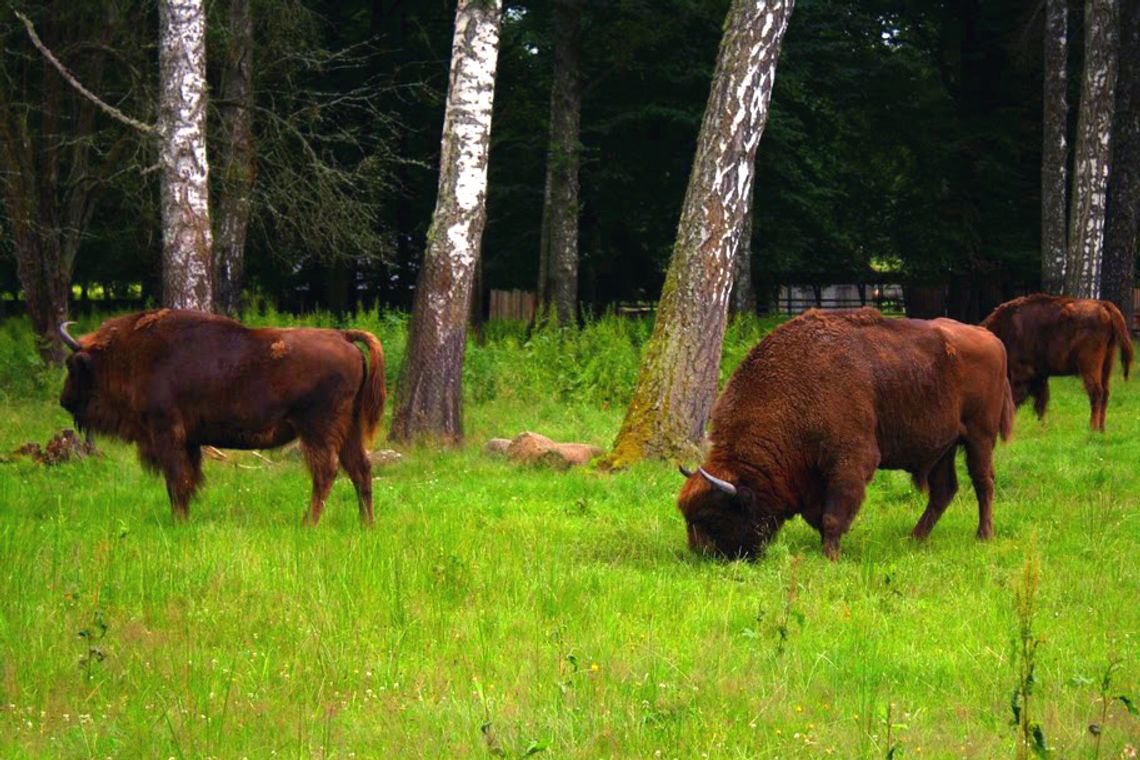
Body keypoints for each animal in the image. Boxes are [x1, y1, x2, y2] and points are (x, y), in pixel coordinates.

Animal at [57, 309, 385, 524]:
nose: (64, 400)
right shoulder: (188, 441)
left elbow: (176, 479)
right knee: (360, 468)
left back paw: (308, 523)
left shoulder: (166, 433)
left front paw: (179, 521)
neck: (135, 353)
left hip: (318, 429)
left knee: (327, 471)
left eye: (72, 366)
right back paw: (366, 524)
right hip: (349, 428)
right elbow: (188, 479)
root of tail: (343, 336)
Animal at [674, 305, 1016, 562]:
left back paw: (983, 535)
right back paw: (914, 538)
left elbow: (833, 515)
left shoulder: (851, 461)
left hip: (978, 436)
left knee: (984, 483)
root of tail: (991, 338)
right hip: (941, 447)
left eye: (713, 516)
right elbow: (819, 516)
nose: (700, 556)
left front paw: (831, 556)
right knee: (944, 490)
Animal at [980, 293, 1130, 430]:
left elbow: (1019, 399)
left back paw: (1092, 428)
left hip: (1089, 365)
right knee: (1105, 392)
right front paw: (1041, 426)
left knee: (1096, 392)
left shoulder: (1021, 373)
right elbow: (1041, 401)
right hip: (1107, 363)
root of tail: (1104, 305)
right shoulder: (1040, 375)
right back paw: (1101, 429)